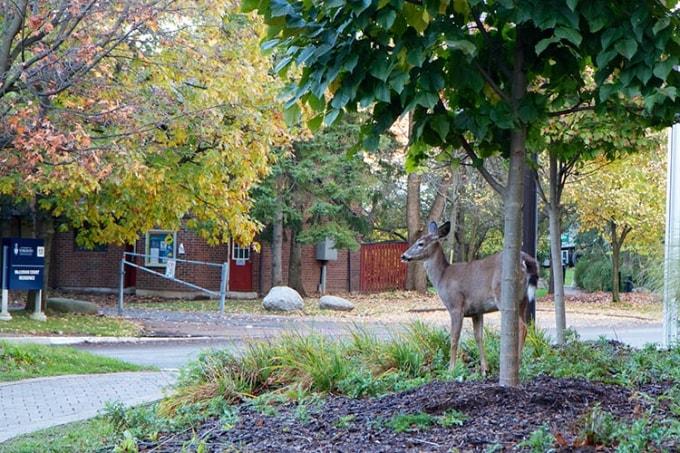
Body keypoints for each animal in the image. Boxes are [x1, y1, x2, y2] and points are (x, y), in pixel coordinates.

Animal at [402, 220, 540, 374]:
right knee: (526, 325)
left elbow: (454, 338)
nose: (404, 256)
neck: (442, 277)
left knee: (522, 326)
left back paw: (517, 363)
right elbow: (478, 337)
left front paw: (451, 369)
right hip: (524, 300)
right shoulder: (477, 311)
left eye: (420, 243)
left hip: (504, 296)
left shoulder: (456, 305)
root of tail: (525, 260)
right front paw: (484, 369)